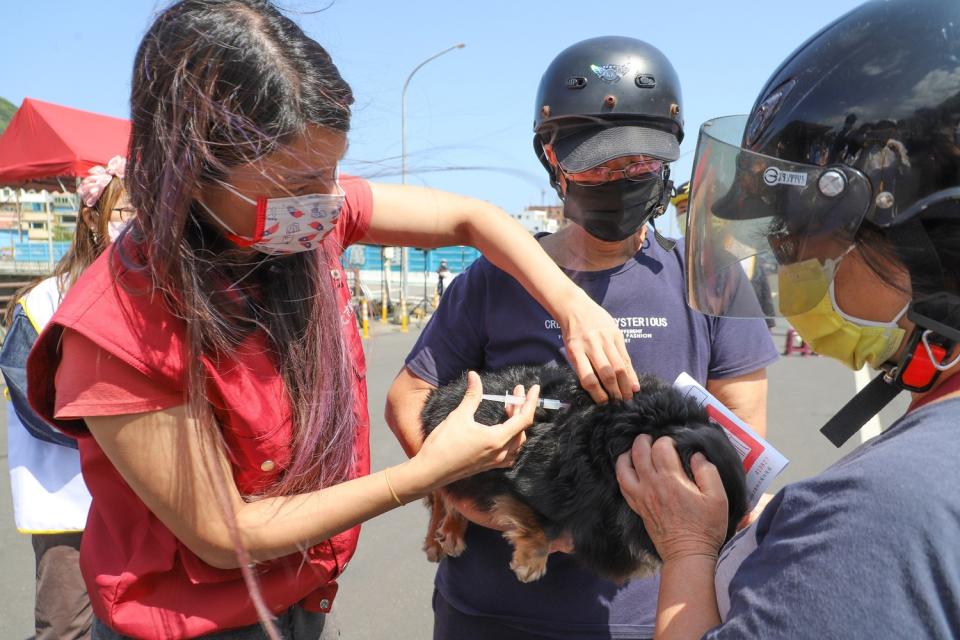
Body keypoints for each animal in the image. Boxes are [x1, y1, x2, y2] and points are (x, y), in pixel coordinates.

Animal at [422, 362, 752, 584]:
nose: (718, 557)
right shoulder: (536, 483)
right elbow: (546, 524)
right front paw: (530, 564)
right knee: (442, 494)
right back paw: (444, 535)